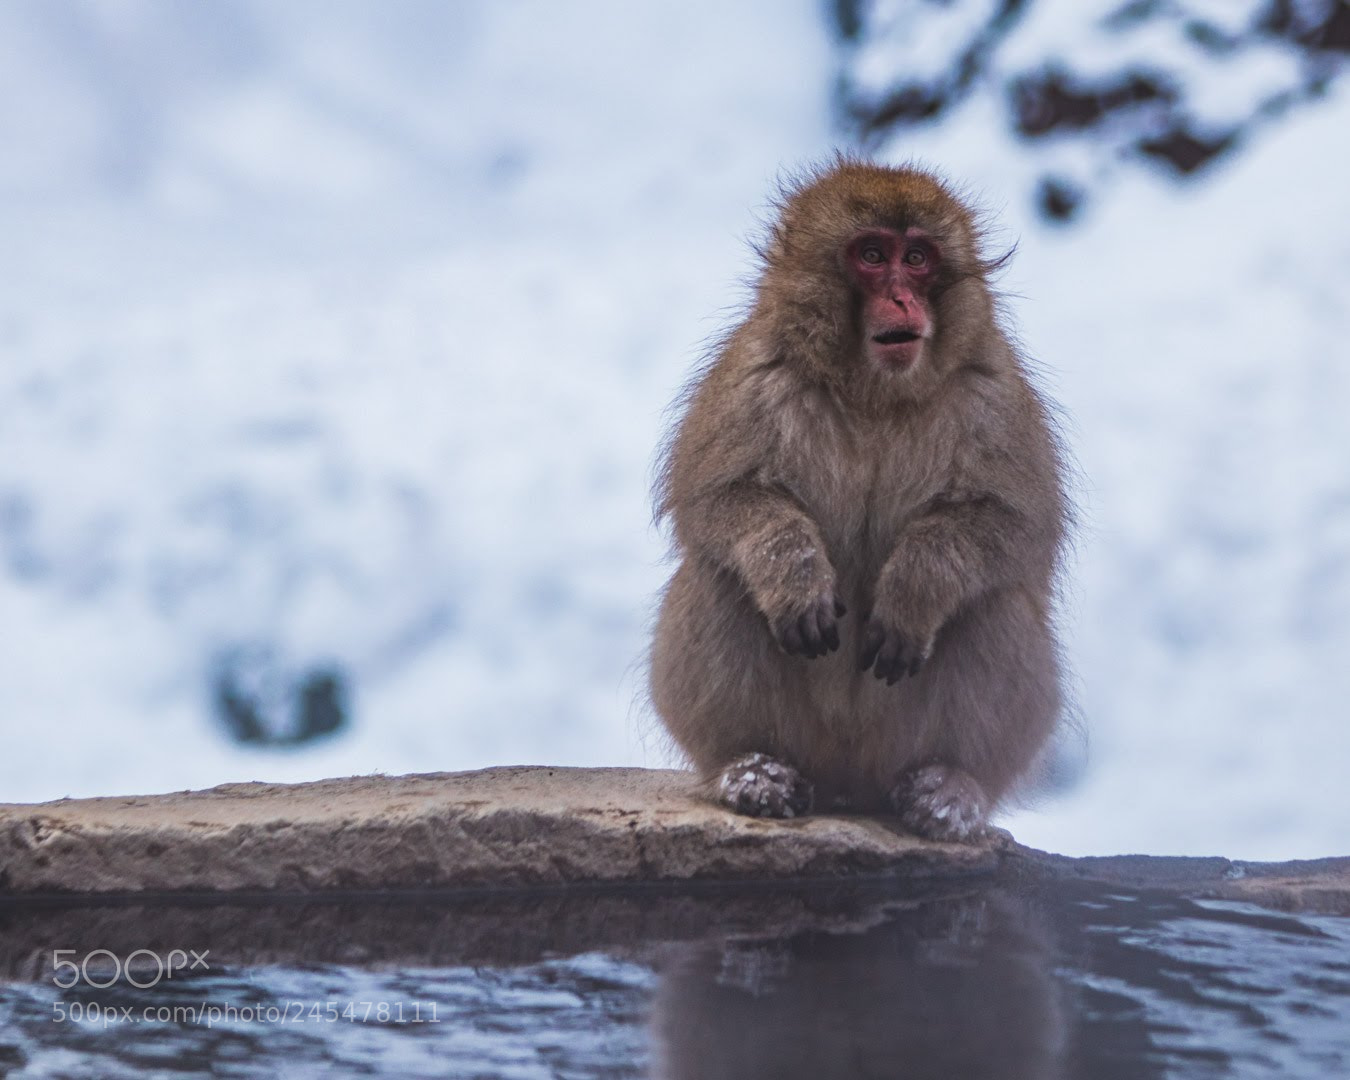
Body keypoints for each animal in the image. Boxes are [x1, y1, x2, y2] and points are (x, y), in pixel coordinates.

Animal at [649, 158, 1069, 841]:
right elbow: (718, 500)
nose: (902, 299)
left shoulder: (991, 393)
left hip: (896, 745)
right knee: (718, 575)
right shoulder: (757, 375)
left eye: (917, 258)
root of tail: (849, 783)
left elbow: (1014, 522)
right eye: (873, 255)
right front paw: (796, 573)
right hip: (809, 742)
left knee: (994, 600)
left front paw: (913, 587)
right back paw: (749, 769)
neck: (876, 397)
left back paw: (950, 787)